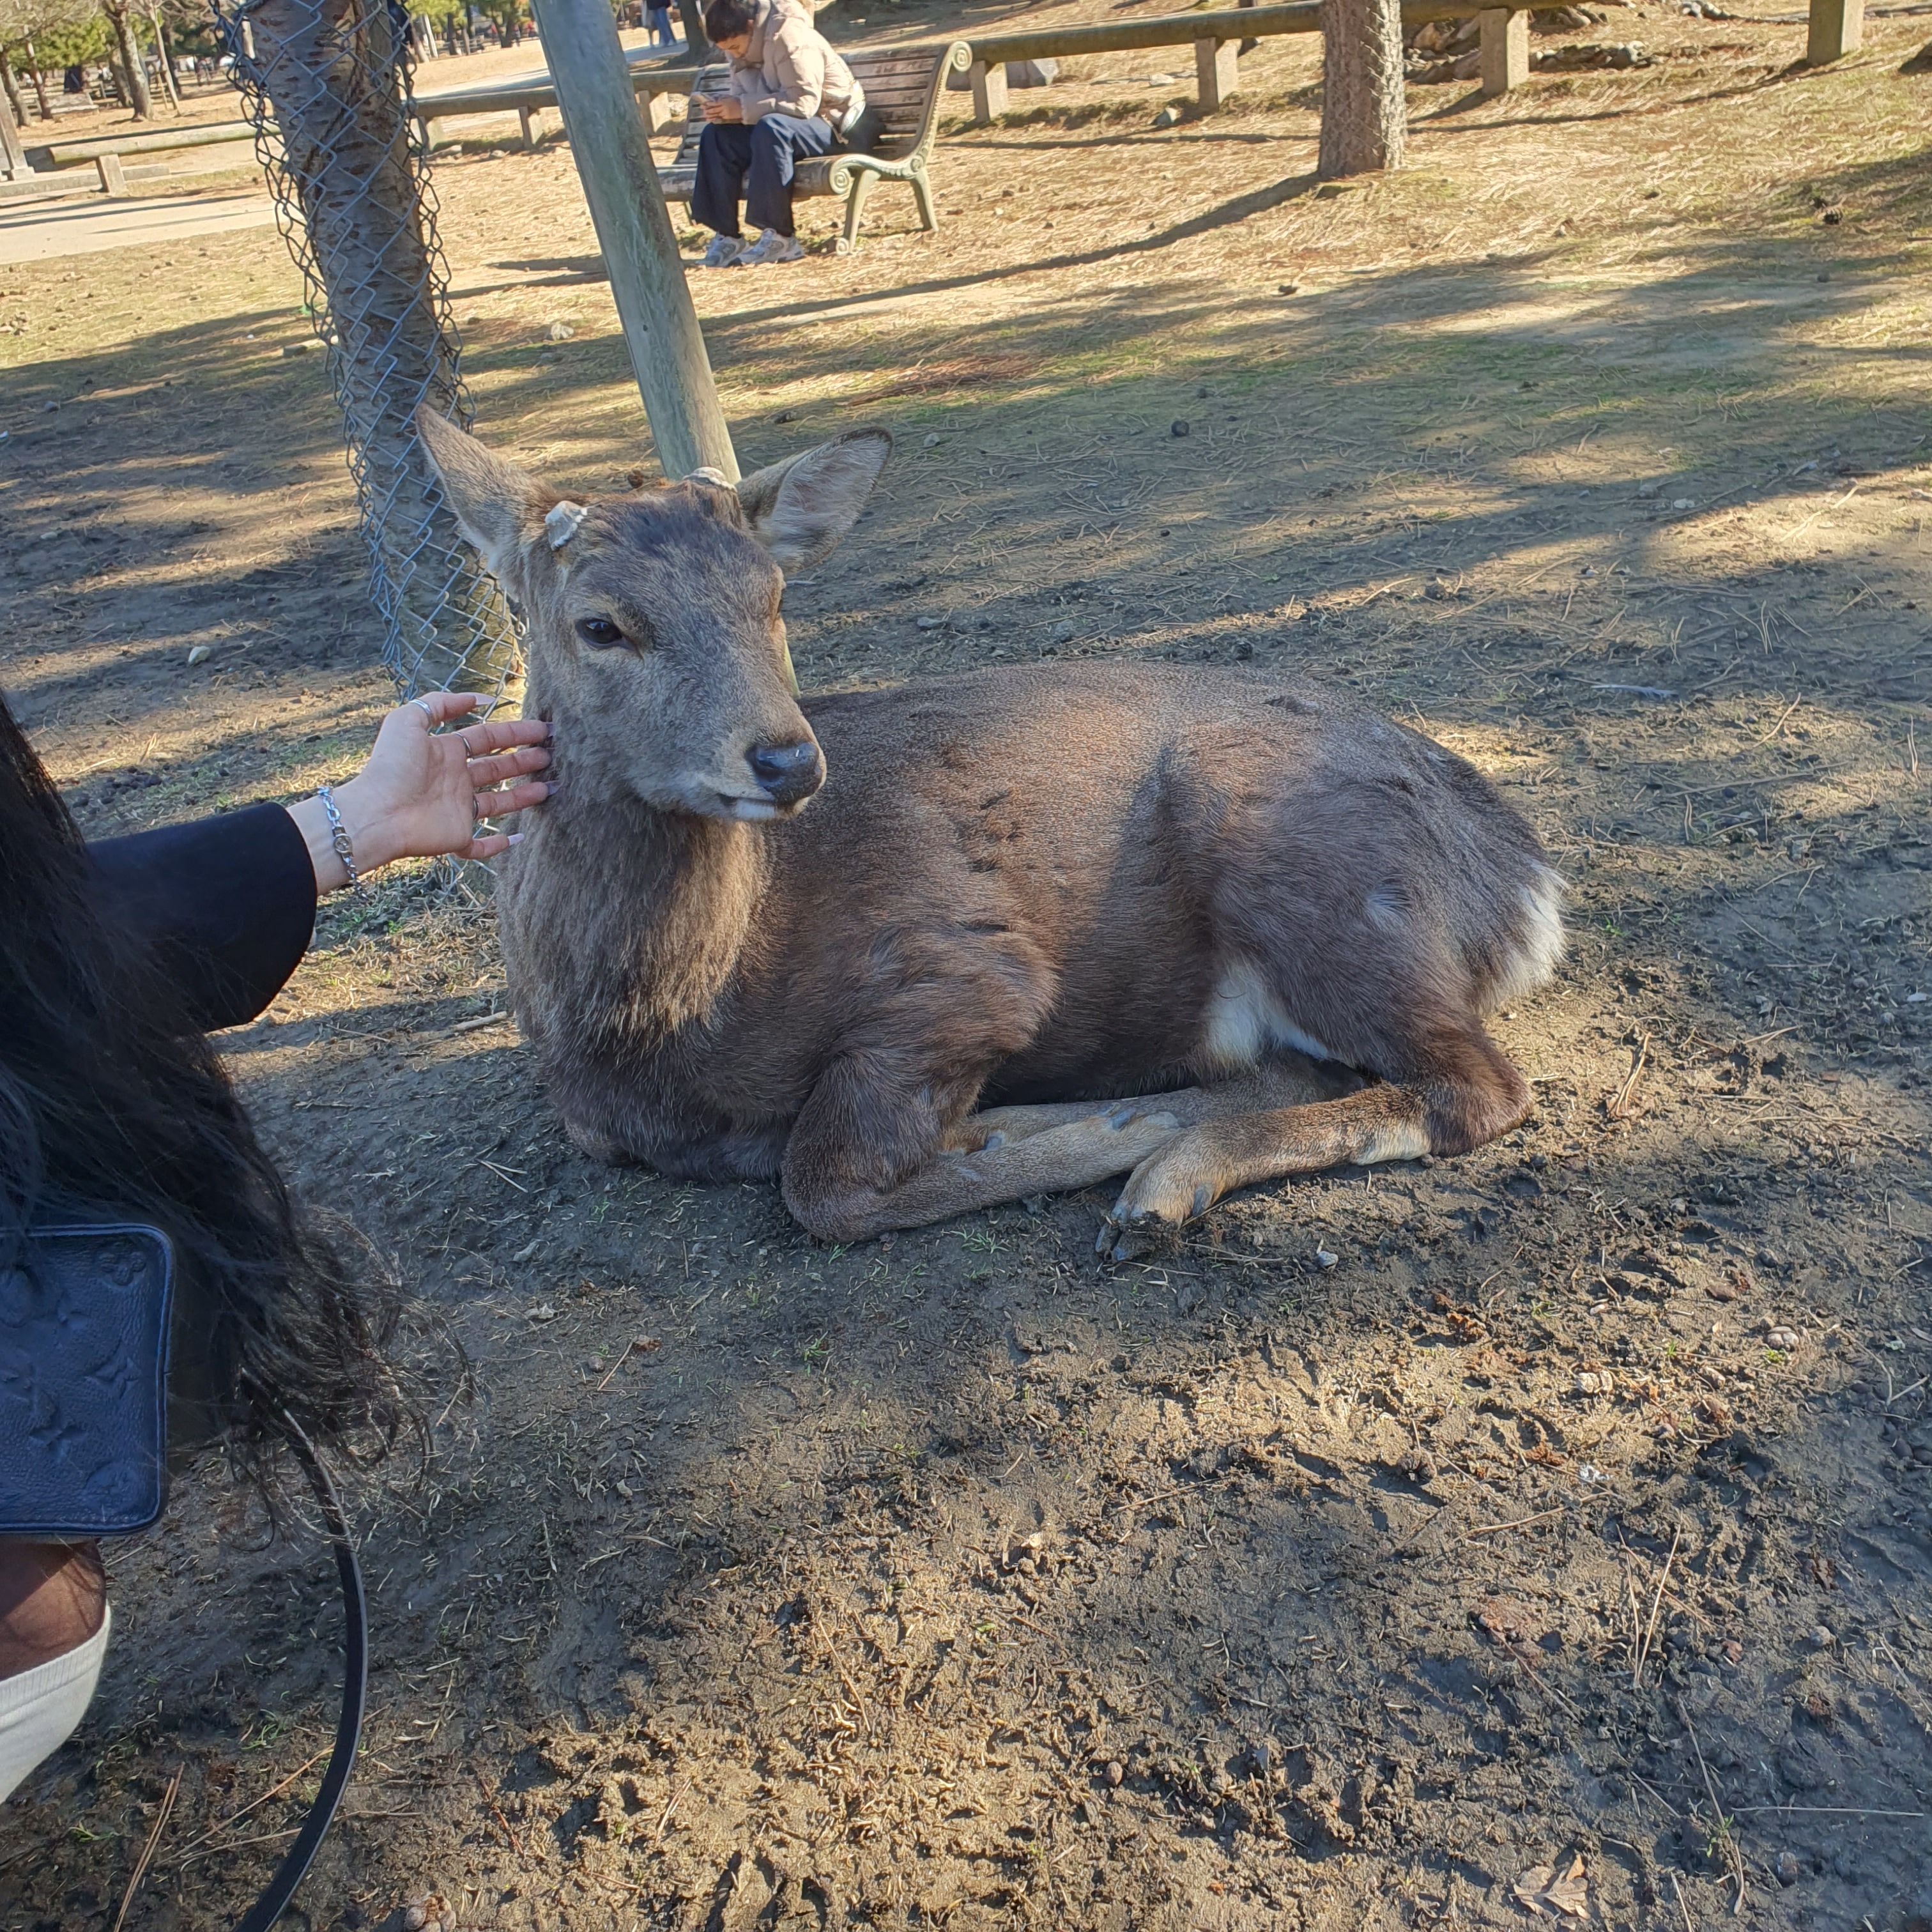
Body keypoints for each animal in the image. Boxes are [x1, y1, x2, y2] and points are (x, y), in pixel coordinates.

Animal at [415, 410, 1561, 1259]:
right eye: (599, 624)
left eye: (773, 598)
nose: (788, 761)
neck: (665, 1025)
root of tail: (1525, 881)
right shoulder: (592, 1117)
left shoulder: (964, 973)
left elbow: (822, 1180)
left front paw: (1103, 1128)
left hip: (1310, 871)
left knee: (1477, 1086)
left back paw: (1164, 1179)